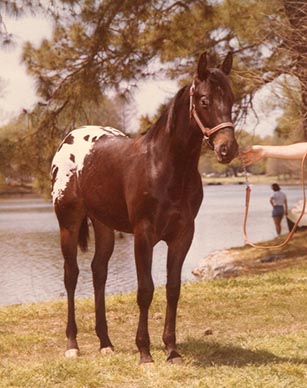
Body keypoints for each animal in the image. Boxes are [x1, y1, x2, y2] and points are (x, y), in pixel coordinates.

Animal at [51, 51, 239, 364]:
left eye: (232, 99)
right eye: (204, 100)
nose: (228, 149)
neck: (163, 165)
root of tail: (70, 140)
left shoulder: (182, 235)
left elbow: (173, 289)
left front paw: (172, 350)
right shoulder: (143, 234)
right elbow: (145, 290)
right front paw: (145, 353)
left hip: (104, 225)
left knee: (99, 272)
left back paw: (105, 342)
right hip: (69, 222)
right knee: (71, 276)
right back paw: (72, 345)